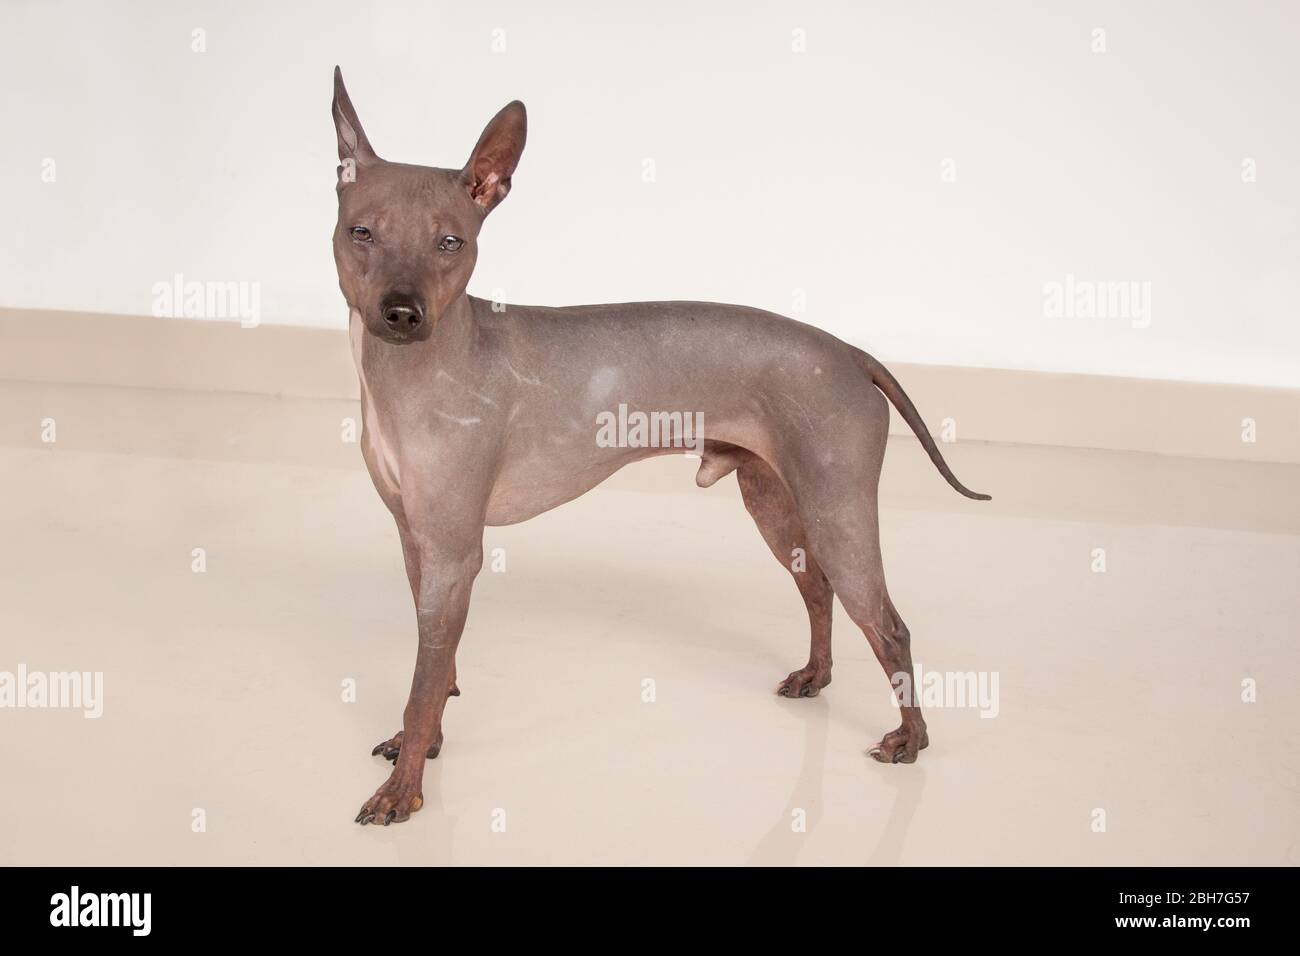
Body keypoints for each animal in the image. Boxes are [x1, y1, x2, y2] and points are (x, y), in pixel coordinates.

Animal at [330, 69, 987, 832]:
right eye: (362, 233)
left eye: (450, 242)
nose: (403, 313)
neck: (414, 369)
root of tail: (850, 352)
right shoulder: (418, 544)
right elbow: (439, 674)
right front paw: (424, 747)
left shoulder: (453, 553)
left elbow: (423, 681)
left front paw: (403, 790)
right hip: (777, 506)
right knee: (818, 591)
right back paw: (815, 677)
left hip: (839, 512)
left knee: (889, 625)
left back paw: (911, 739)